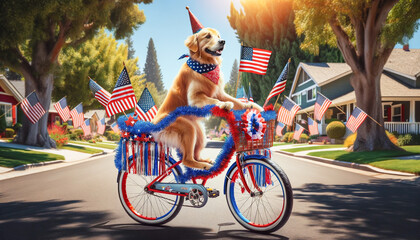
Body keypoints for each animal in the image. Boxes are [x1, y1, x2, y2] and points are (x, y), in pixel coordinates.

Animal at [151, 28, 262, 170]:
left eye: (218, 36)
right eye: (208, 36)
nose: (222, 41)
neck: (205, 64)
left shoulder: (219, 92)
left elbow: (238, 102)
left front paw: (254, 106)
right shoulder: (195, 96)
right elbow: (214, 100)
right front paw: (224, 105)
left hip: (200, 133)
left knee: (195, 154)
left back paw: (205, 161)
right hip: (186, 127)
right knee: (187, 159)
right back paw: (203, 166)